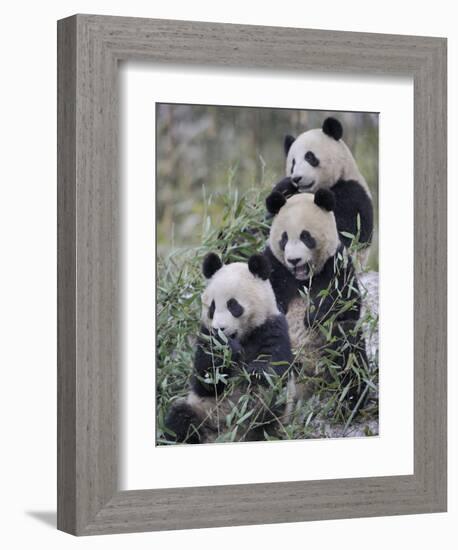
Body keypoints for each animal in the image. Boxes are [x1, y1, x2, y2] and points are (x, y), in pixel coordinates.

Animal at [165, 252, 294, 446]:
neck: (242, 337)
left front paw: (255, 372)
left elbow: (275, 364)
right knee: (179, 420)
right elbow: (206, 380)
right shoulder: (206, 336)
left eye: (233, 305)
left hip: (272, 415)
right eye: (212, 307)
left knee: (268, 410)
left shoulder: (272, 326)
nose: (220, 328)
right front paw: (226, 351)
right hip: (201, 410)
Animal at [264, 190, 368, 410]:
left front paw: (312, 316)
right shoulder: (273, 265)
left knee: (346, 345)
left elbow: (346, 303)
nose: (294, 260)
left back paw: (352, 402)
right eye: (284, 239)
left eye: (306, 237)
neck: (302, 279)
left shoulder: (337, 263)